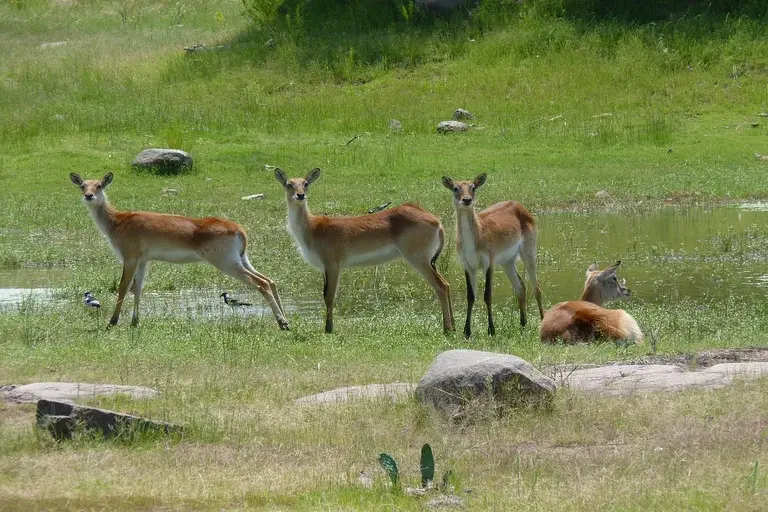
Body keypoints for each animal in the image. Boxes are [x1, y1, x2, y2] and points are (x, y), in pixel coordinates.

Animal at [69, 172, 290, 330]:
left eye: (99, 185)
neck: (117, 222)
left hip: (226, 262)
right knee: (270, 280)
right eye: (82, 185)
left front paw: (112, 322)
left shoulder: (129, 257)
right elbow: (137, 288)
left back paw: (282, 323)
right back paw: (287, 321)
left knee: (261, 283)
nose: (89, 195)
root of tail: (238, 229)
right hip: (242, 259)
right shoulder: (143, 260)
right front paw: (134, 322)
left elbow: (123, 287)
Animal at [276, 168, 456, 334]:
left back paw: (447, 329)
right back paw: (453, 327)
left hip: (418, 258)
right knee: (446, 284)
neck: (312, 228)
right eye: (289, 184)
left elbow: (329, 296)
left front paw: (328, 330)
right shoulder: (323, 268)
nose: (300, 195)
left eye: (306, 183)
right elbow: (325, 295)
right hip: (429, 261)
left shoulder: (333, 265)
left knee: (441, 285)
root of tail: (436, 221)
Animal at [440, 174, 544, 338]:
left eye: (473, 187)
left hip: (529, 252)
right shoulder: (468, 265)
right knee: (521, 287)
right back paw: (523, 324)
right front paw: (467, 331)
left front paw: (491, 330)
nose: (467, 200)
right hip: (507, 262)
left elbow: (487, 295)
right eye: (455, 188)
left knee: (537, 288)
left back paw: (542, 322)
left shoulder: (488, 262)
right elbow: (470, 296)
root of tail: (519, 205)